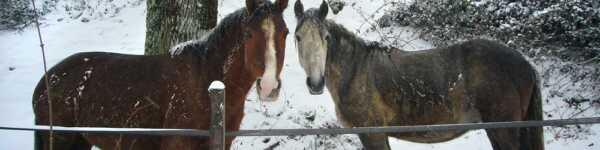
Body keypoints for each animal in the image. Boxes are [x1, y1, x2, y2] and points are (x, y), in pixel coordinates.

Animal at [294, 0, 544, 149]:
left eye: (326, 37)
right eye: (298, 37)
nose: (315, 83)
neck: (355, 71)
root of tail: (526, 65)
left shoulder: (373, 134)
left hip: (503, 131)